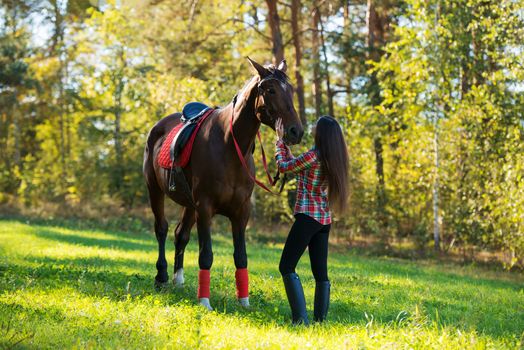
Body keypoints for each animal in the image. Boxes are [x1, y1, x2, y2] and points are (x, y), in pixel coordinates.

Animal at [142, 57, 302, 308]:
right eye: (271, 90)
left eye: (292, 90)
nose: (296, 131)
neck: (229, 145)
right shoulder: (205, 208)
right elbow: (206, 255)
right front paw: (204, 302)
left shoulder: (241, 212)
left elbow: (241, 256)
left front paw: (244, 301)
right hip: (155, 190)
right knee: (162, 229)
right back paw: (162, 277)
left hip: (189, 204)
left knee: (180, 234)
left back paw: (179, 280)